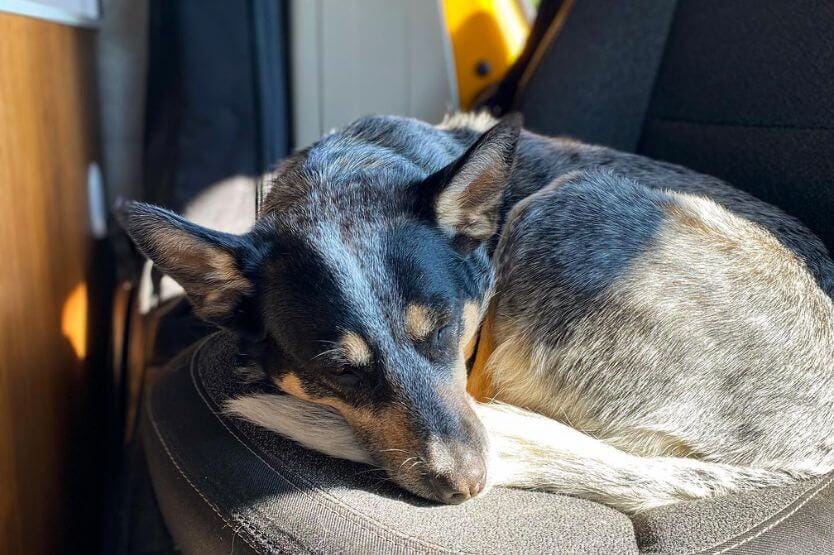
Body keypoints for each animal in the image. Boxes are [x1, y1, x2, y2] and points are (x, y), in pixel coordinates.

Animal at [118, 114, 832, 516]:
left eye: (444, 330)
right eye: (339, 371)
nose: (465, 486)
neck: (349, 169)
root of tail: (804, 459)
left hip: (561, 204)